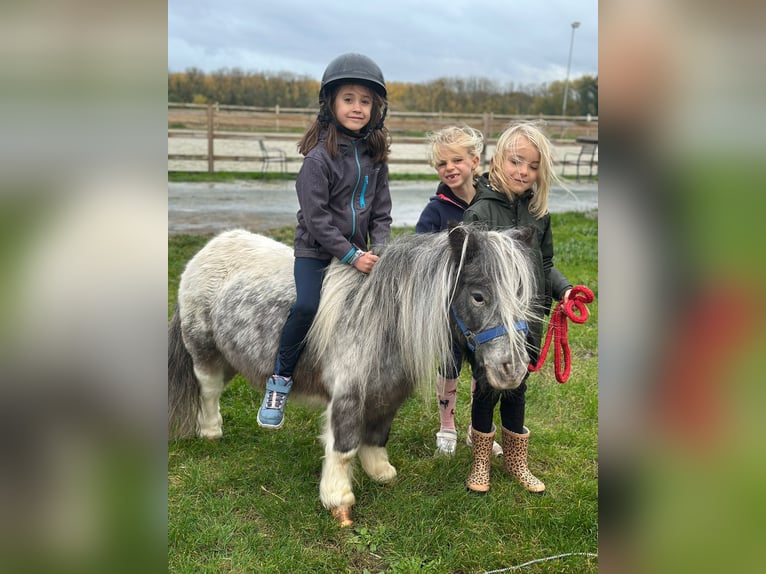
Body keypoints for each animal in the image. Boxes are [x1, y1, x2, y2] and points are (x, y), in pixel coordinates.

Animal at [168, 224, 541, 526]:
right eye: (478, 296)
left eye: (521, 294)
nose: (513, 369)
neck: (384, 318)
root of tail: (208, 249)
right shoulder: (347, 395)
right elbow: (344, 446)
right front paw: (339, 502)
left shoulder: (388, 393)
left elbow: (377, 435)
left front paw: (382, 473)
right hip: (205, 351)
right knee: (208, 390)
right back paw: (211, 432)